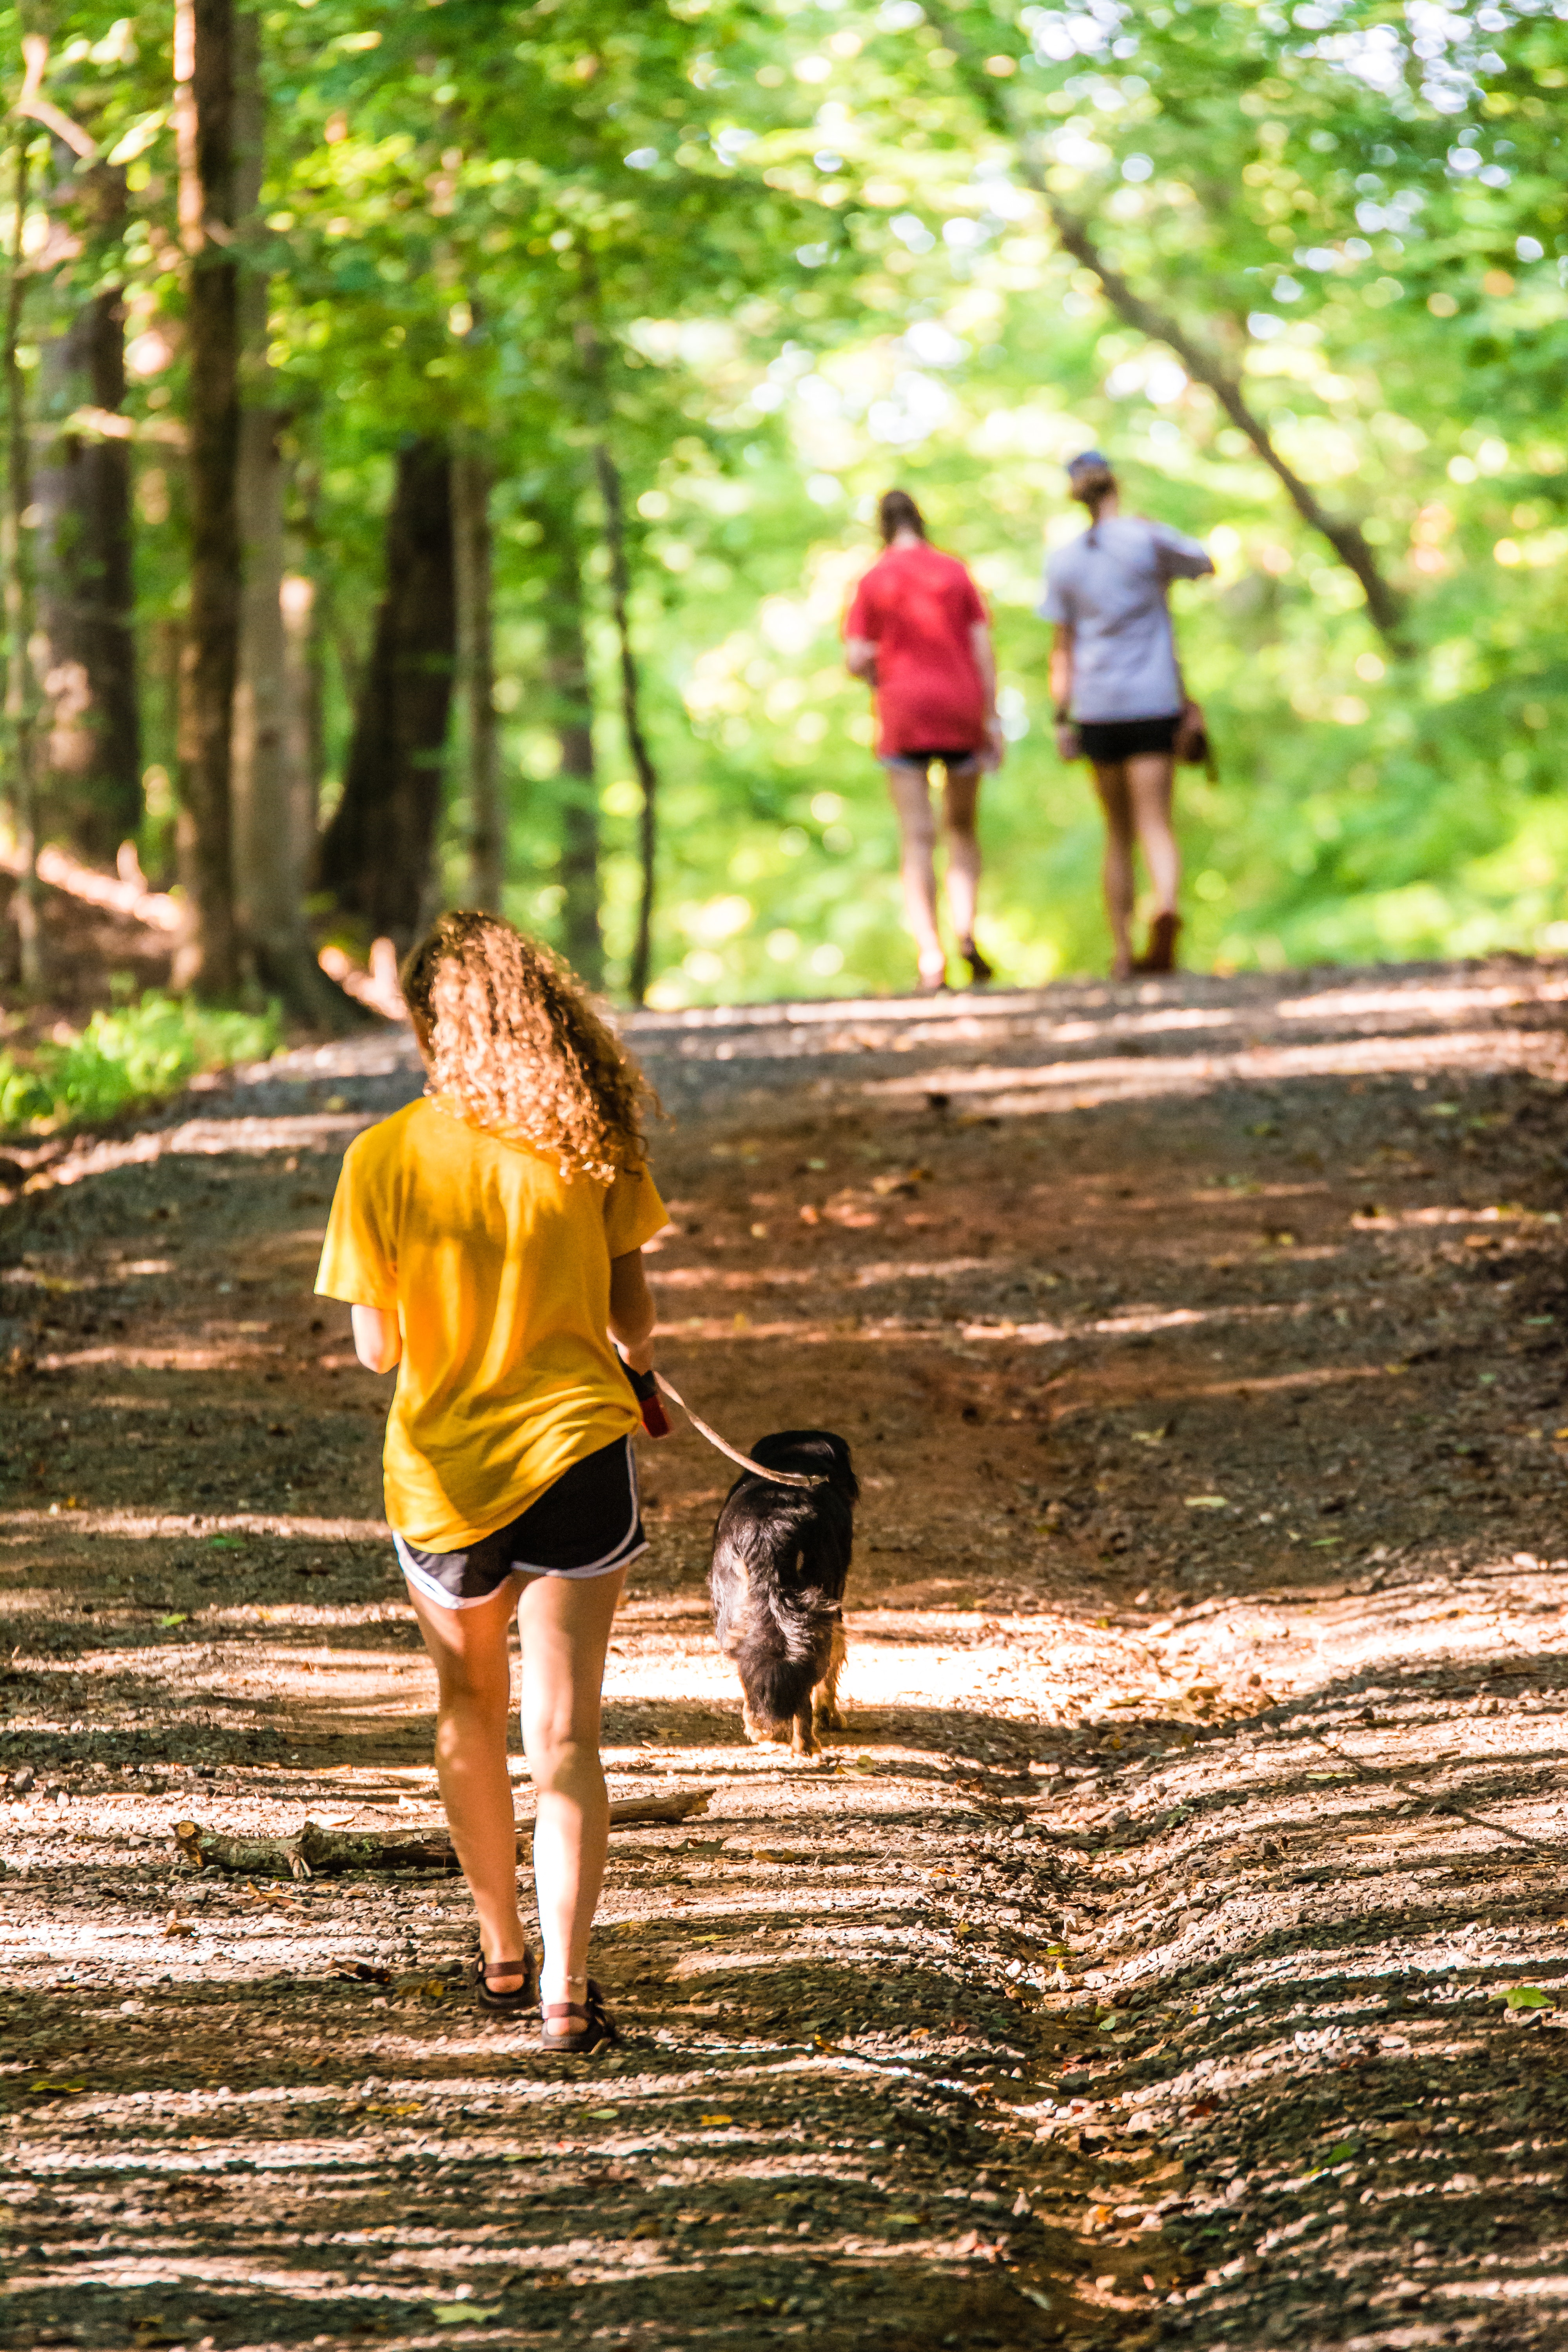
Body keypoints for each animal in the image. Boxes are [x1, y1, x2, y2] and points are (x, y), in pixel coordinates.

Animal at [710, 1421, 860, 1759]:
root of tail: (771, 1528)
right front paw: (829, 1715)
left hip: (735, 1611)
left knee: (752, 1663)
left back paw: (761, 1728)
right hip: (817, 1614)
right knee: (805, 1673)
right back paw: (806, 1744)